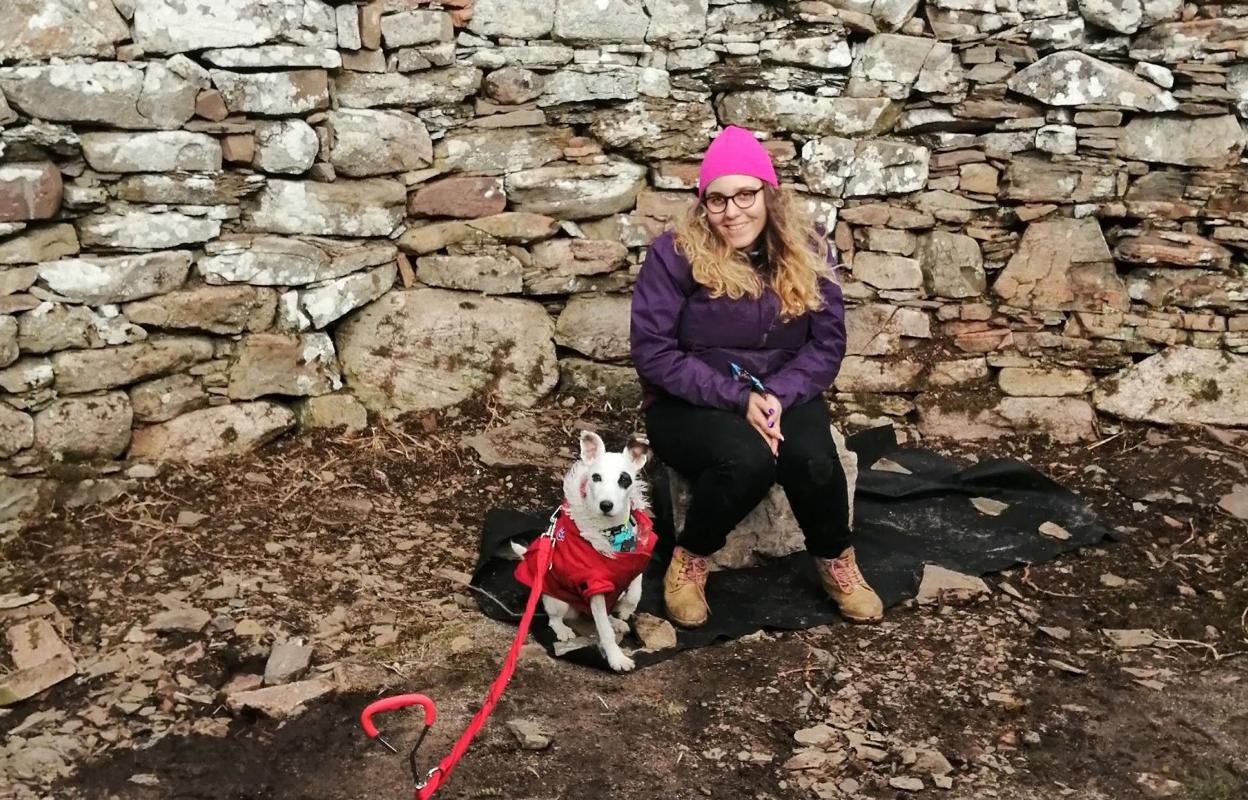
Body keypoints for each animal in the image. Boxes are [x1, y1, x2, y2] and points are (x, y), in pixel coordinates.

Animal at [514, 429, 658, 668]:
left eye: (625, 479)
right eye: (596, 477)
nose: (606, 505)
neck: (613, 534)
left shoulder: (638, 559)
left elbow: (635, 591)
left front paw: (626, 610)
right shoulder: (595, 587)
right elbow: (604, 632)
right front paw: (616, 658)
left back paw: (614, 620)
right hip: (557, 601)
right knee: (555, 617)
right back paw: (563, 629)